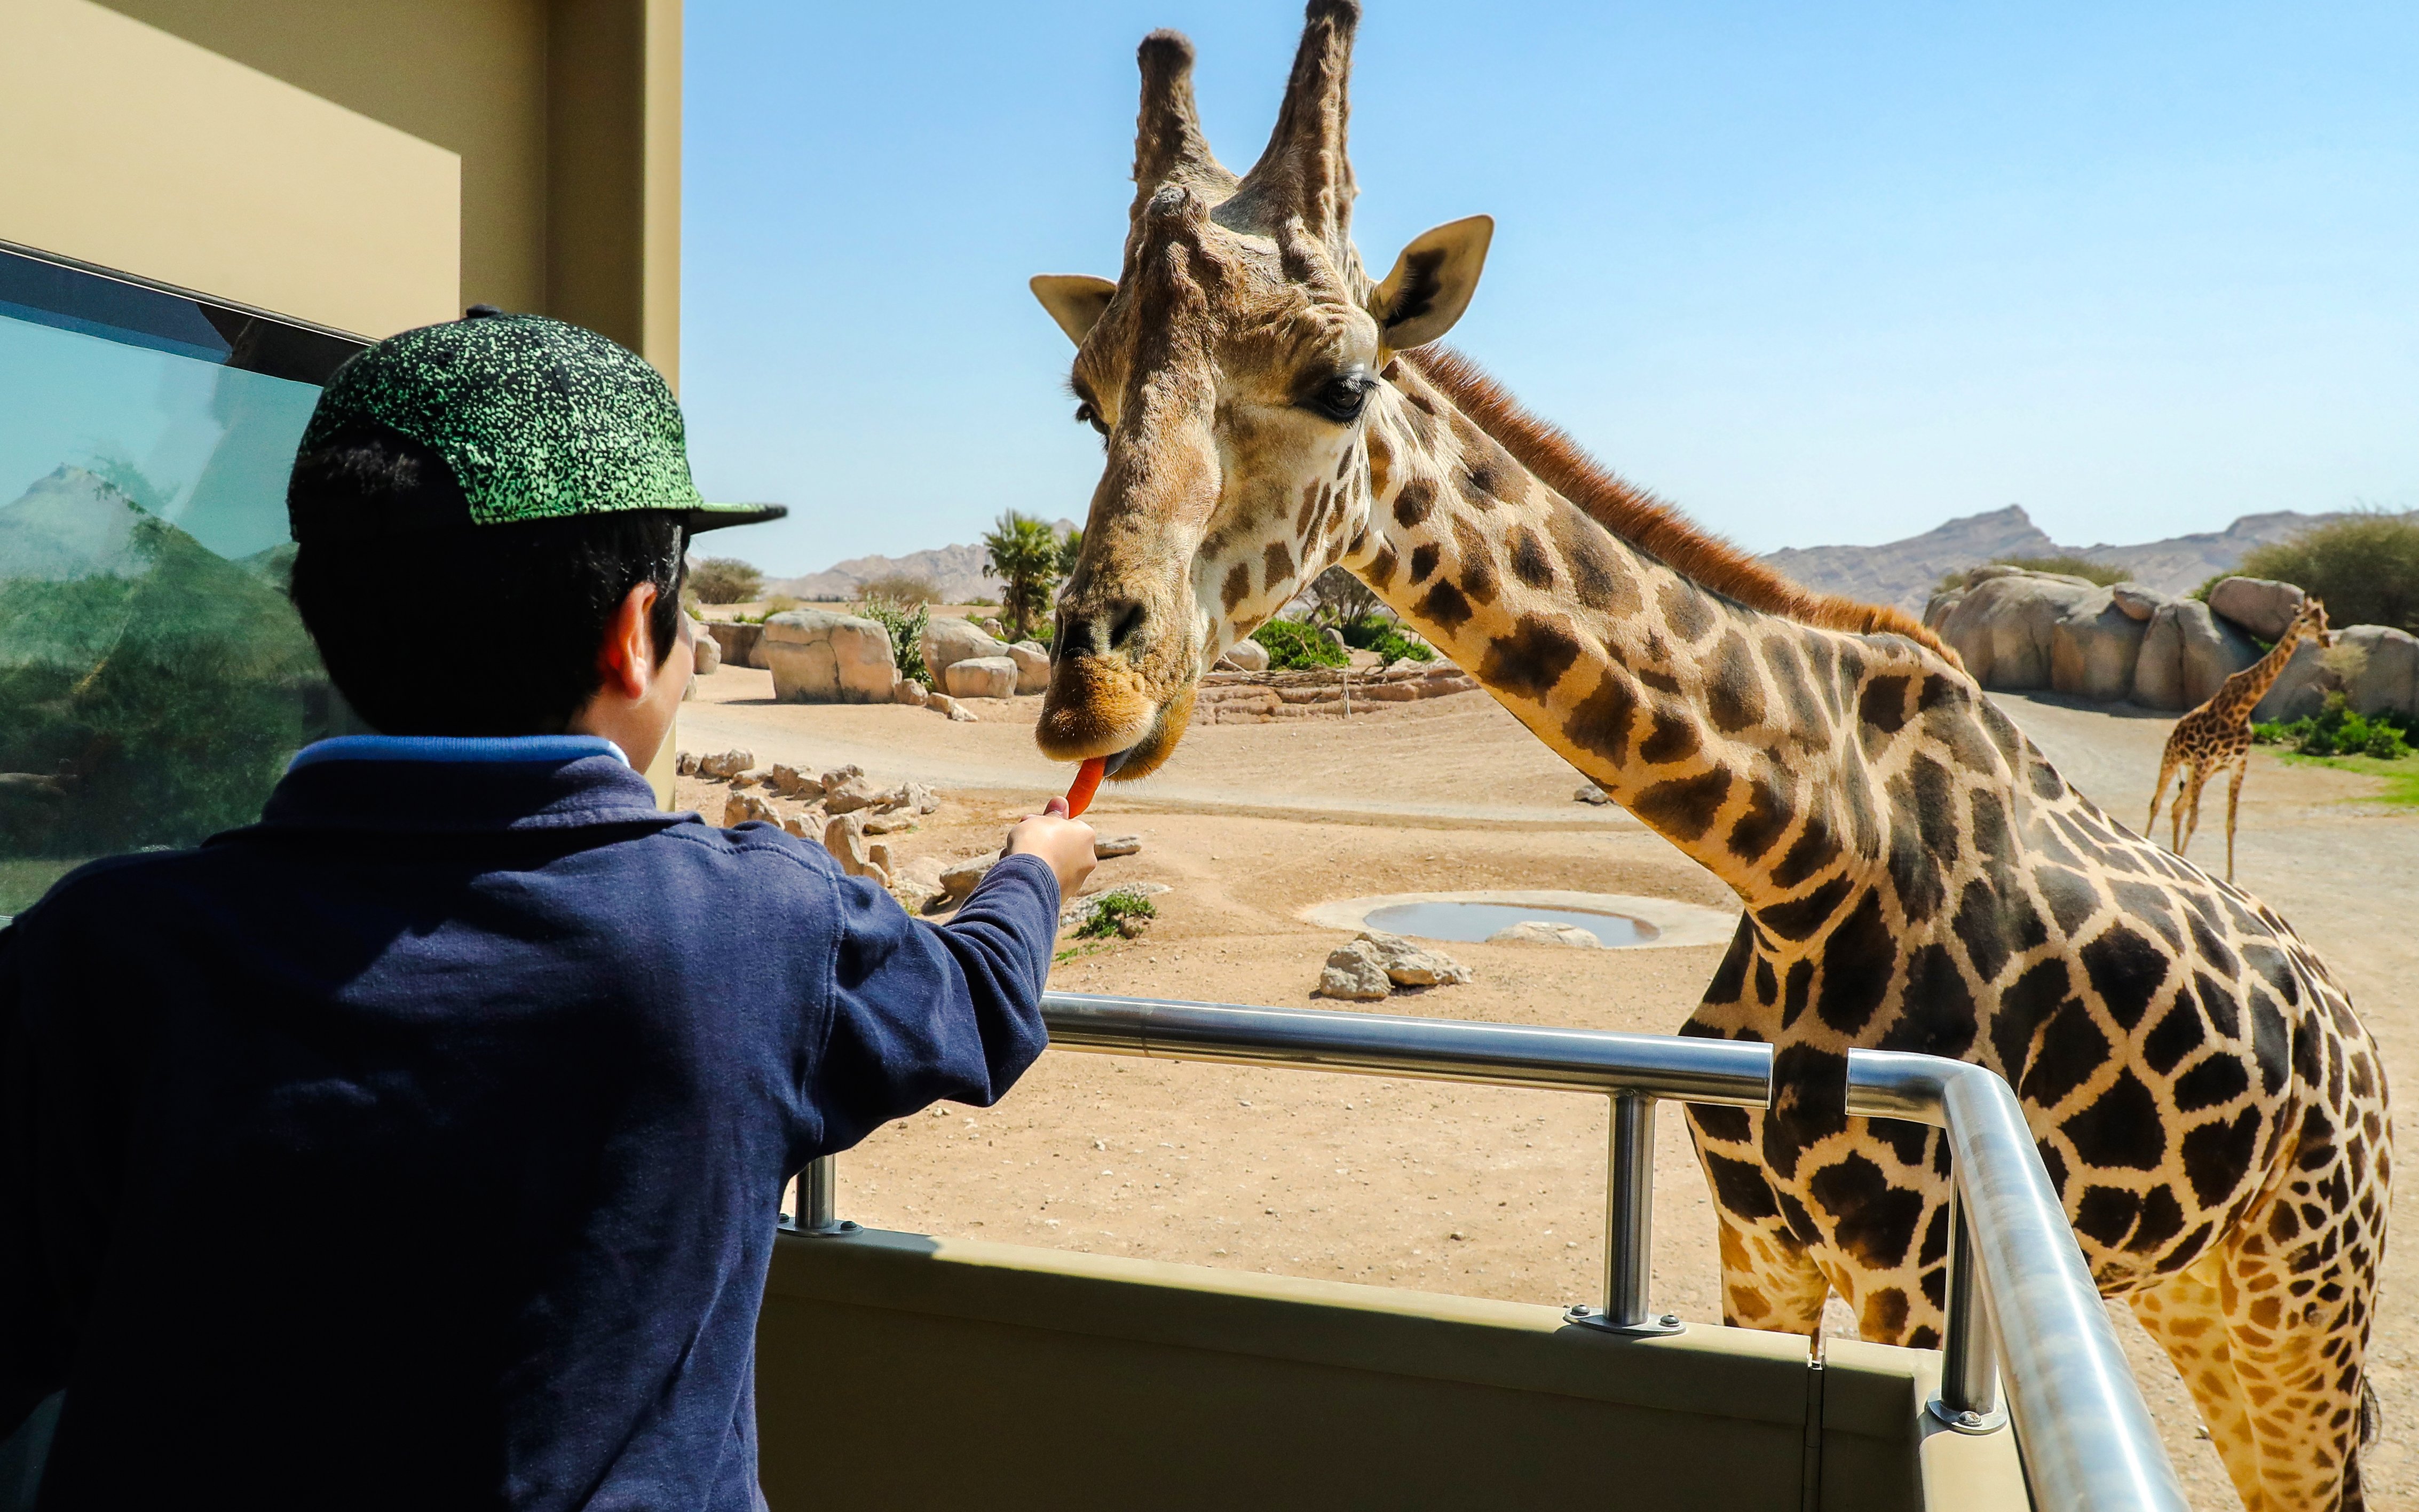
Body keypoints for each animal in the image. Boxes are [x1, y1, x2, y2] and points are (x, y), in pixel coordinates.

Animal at [2149, 597, 2337, 883]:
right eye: (2304, 619)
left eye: (2325, 619)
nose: (2327, 640)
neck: (2240, 710)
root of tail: (2176, 729)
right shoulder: (2205, 761)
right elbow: (2195, 820)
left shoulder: (2237, 765)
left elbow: (2232, 823)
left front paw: (2231, 879)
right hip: (2174, 760)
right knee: (2157, 803)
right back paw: (2151, 844)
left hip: (2198, 773)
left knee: (2176, 807)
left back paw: (2175, 854)